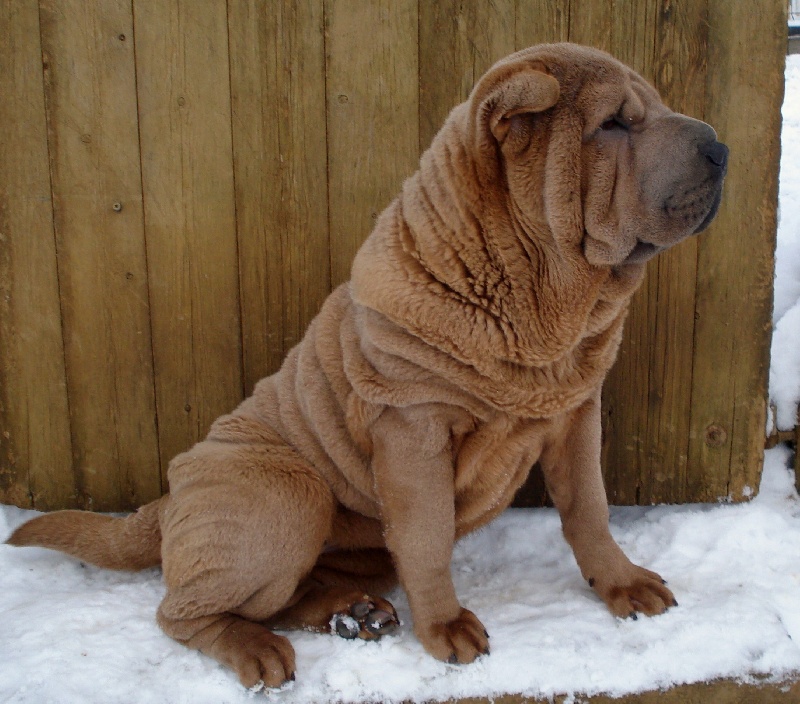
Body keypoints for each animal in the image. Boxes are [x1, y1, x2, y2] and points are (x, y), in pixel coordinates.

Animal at [7, 42, 732, 688]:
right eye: (613, 124)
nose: (722, 149)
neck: (539, 304)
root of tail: (163, 502)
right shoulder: (413, 427)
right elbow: (428, 535)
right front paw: (445, 630)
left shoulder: (577, 412)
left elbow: (590, 509)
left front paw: (623, 584)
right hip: (287, 492)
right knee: (184, 612)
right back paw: (259, 651)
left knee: (285, 596)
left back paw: (351, 614)